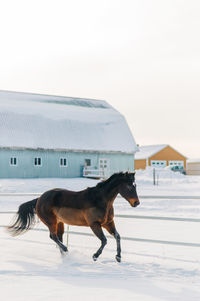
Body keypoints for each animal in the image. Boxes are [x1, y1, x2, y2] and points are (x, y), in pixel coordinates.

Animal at [7, 172, 139, 262]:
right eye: (129, 186)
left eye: (135, 185)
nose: (136, 203)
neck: (100, 200)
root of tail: (39, 199)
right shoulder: (94, 224)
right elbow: (104, 240)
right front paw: (95, 256)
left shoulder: (108, 223)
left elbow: (117, 236)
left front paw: (118, 257)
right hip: (51, 222)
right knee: (53, 236)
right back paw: (66, 250)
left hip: (60, 223)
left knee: (58, 237)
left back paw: (65, 256)